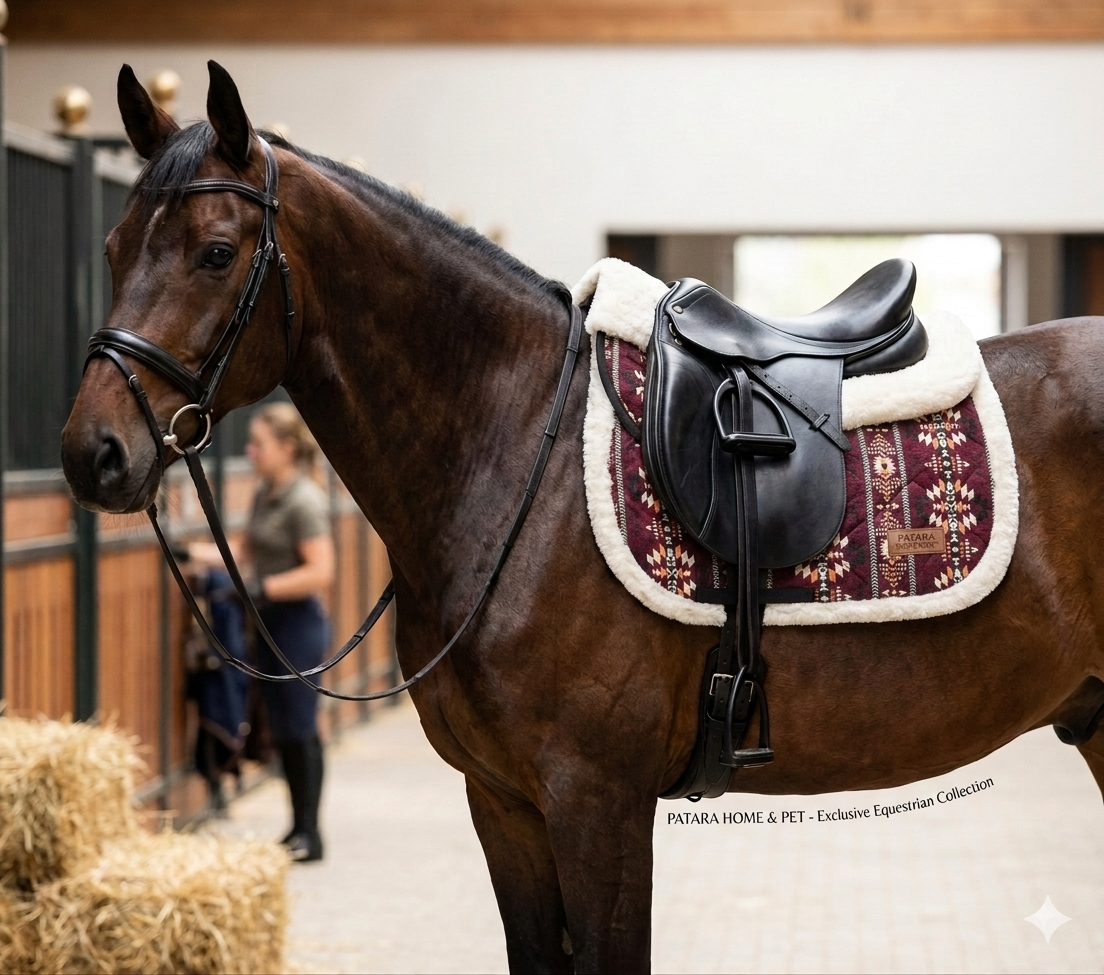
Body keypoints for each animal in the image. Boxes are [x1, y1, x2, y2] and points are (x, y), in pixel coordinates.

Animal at [61, 61, 1104, 973]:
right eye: (109, 251)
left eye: (215, 252)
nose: (91, 452)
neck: (519, 447)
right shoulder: (504, 802)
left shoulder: (596, 799)